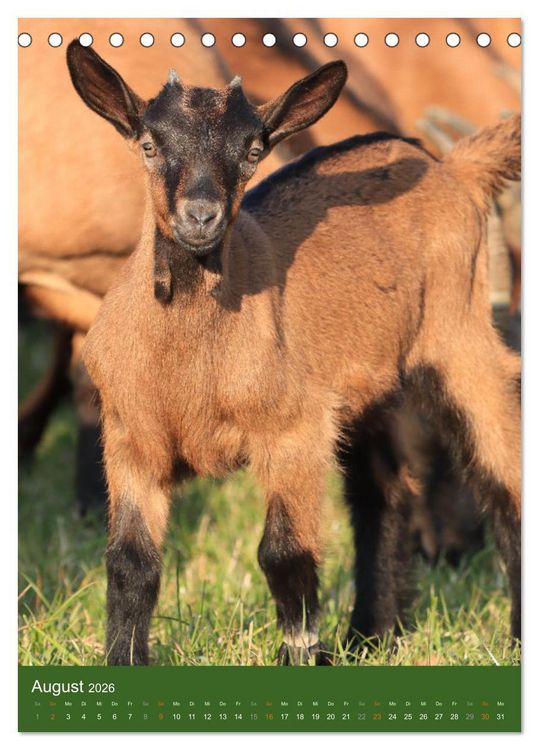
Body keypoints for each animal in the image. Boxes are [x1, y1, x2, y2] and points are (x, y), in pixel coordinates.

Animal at [67, 40, 521, 665]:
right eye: (148, 144)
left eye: (254, 149)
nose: (201, 216)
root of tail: (451, 167)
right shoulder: (131, 440)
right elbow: (130, 564)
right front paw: (124, 664)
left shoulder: (293, 431)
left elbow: (285, 555)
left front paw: (302, 655)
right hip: (372, 388)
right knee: (385, 494)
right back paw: (371, 635)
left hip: (460, 338)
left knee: (504, 482)